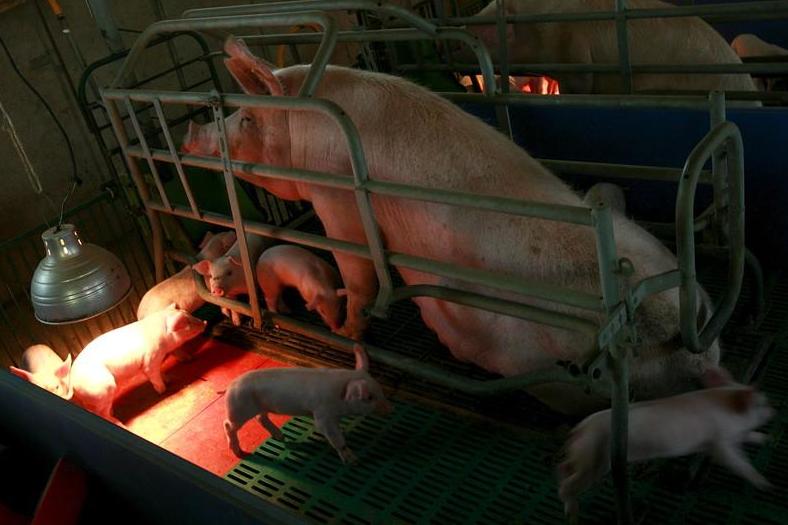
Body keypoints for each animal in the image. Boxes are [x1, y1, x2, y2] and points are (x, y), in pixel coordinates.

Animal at [225, 344, 390, 462]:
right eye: (369, 397)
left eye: (380, 390)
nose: (390, 408)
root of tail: (231, 386)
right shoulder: (323, 415)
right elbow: (335, 437)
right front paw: (353, 460)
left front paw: (344, 433)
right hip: (238, 410)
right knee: (228, 425)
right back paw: (239, 452)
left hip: (260, 407)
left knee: (261, 418)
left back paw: (280, 437)